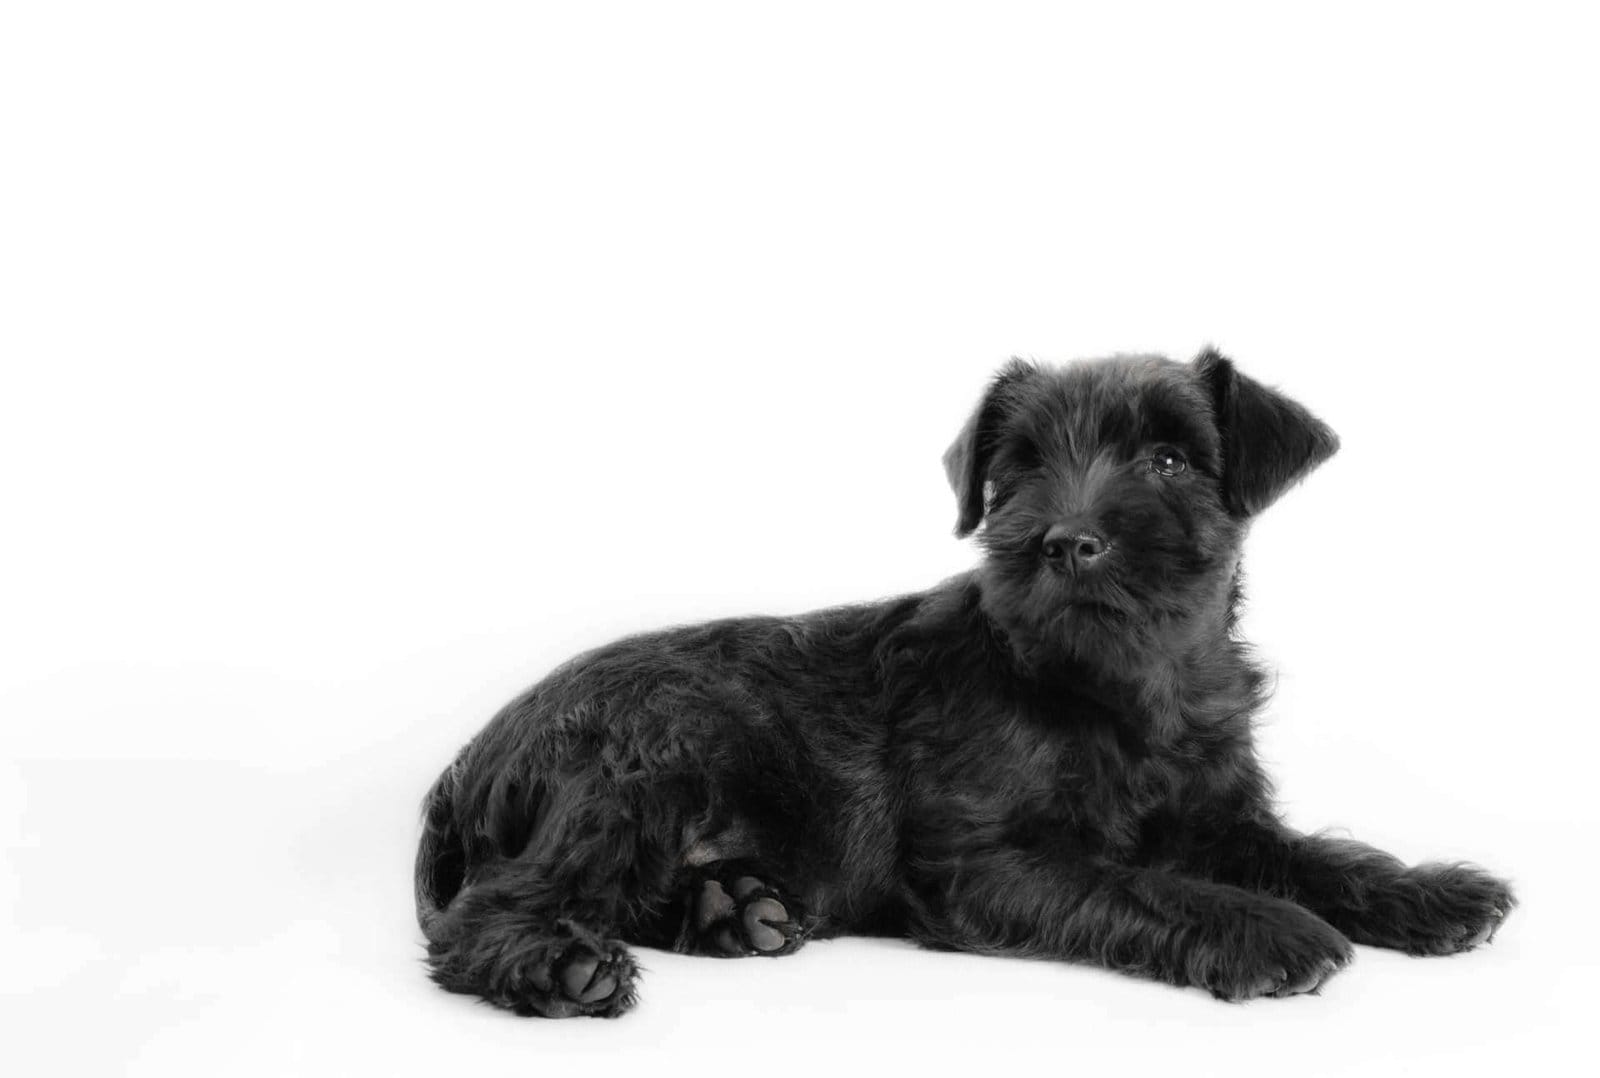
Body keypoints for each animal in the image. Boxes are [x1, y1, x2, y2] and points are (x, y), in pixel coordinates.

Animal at [412, 348, 1510, 1010]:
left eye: (1169, 458)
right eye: (1016, 467)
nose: (1066, 541)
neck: (1119, 690)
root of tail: (464, 762)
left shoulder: (1220, 820)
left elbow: (1317, 854)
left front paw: (1430, 891)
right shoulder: (981, 862)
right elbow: (1135, 880)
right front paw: (1264, 927)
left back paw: (734, 911)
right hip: (647, 763)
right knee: (496, 906)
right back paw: (565, 963)